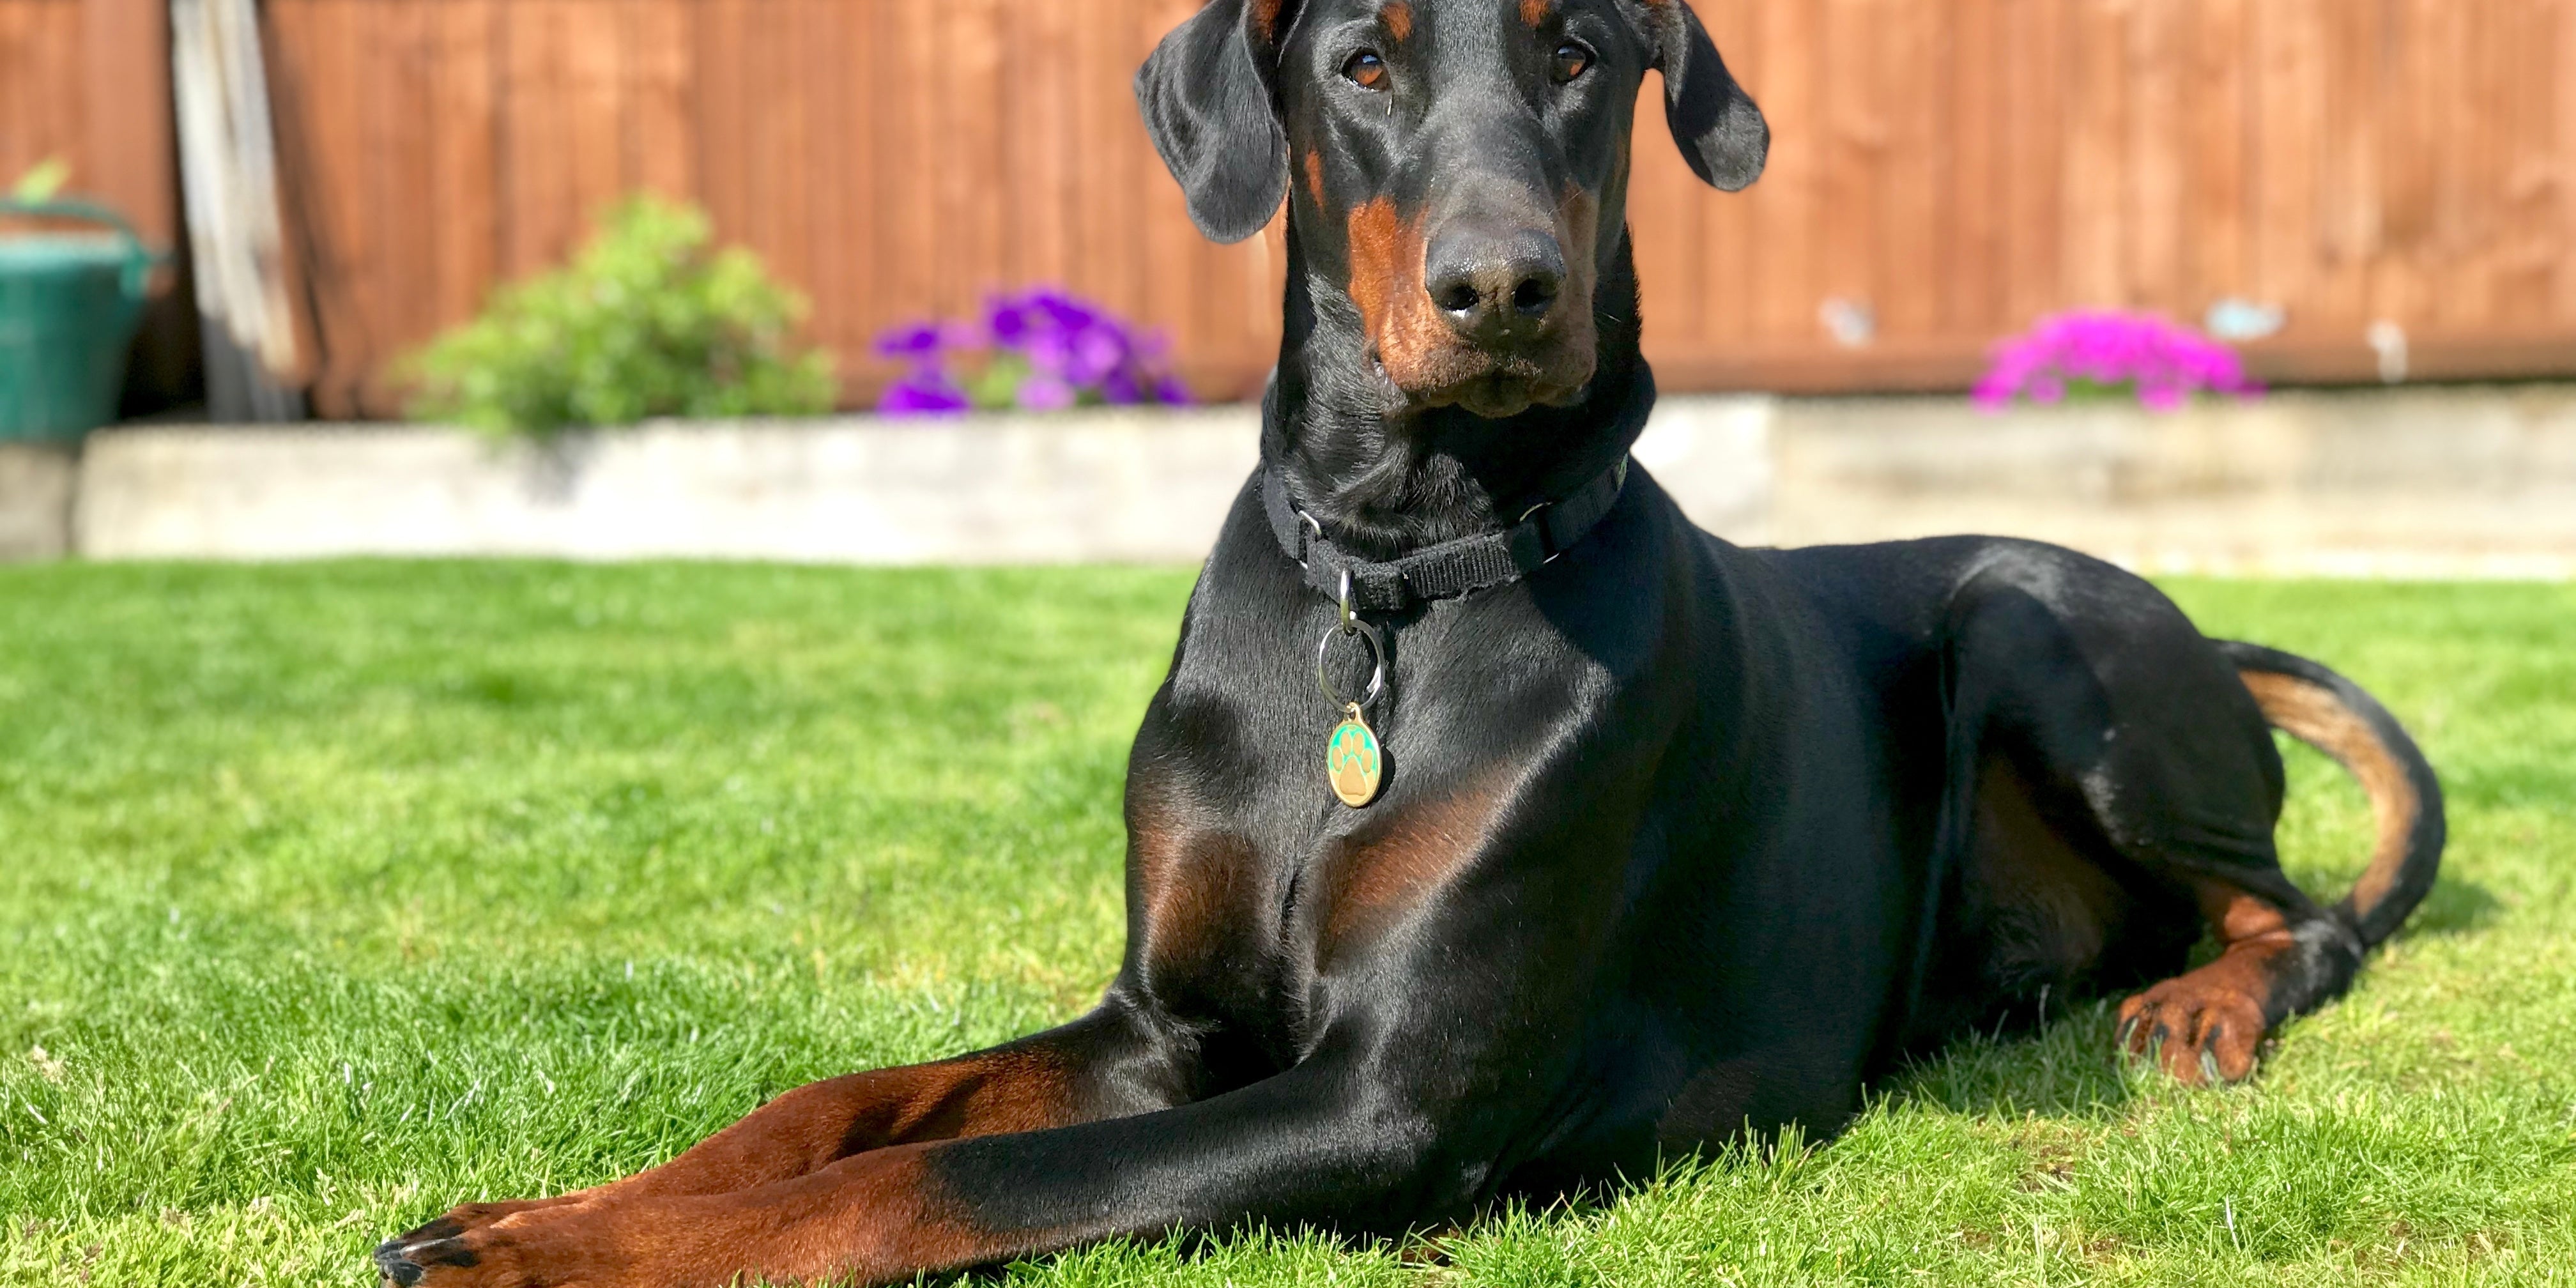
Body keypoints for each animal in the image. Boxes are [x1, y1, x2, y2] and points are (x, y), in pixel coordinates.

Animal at [373, 2, 2442, 1288]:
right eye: (1363, 59)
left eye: (1583, 52)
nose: (1501, 286)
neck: (1391, 581)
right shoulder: (1165, 1025)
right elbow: (842, 1108)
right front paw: (537, 1217)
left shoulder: (1387, 1104)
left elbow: (933, 1178)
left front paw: (566, 1255)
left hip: (2031, 618)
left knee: (2301, 912)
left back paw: (2205, 1007)